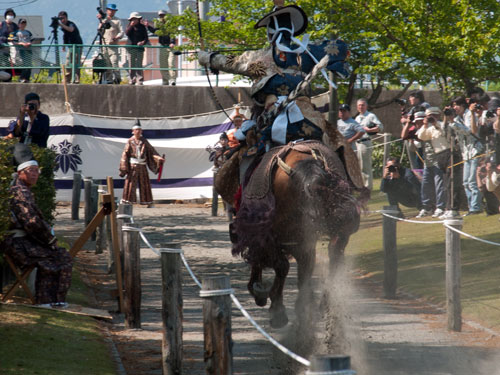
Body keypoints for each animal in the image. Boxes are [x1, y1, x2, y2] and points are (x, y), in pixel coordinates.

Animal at [232, 142, 366, 328]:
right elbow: (303, 270)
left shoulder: (270, 239)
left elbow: (274, 265)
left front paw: (263, 295)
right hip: (336, 234)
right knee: (333, 260)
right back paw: (318, 306)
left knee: (282, 265)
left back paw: (278, 307)